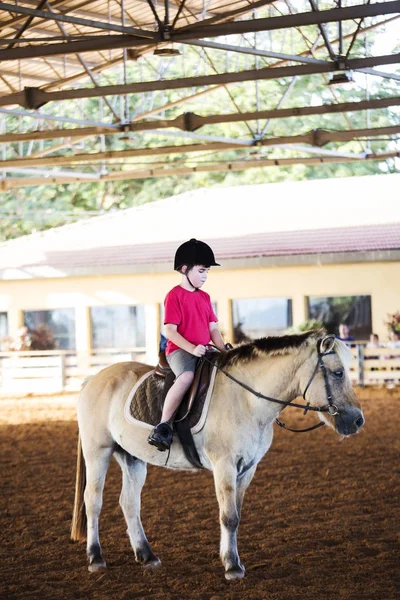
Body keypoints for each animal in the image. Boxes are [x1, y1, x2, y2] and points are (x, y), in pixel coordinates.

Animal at [70, 330, 364, 580]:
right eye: (338, 373)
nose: (358, 421)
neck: (246, 399)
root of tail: (93, 379)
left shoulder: (247, 468)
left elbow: (236, 515)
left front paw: (231, 559)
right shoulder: (225, 465)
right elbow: (228, 516)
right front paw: (232, 566)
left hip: (132, 457)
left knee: (129, 503)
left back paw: (147, 556)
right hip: (98, 451)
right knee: (93, 501)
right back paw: (95, 558)